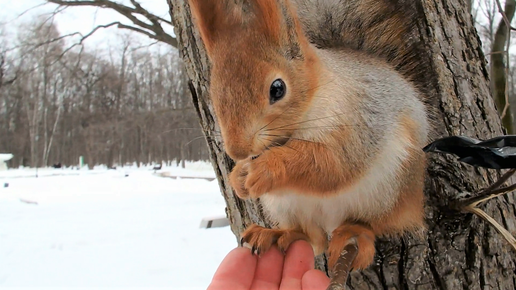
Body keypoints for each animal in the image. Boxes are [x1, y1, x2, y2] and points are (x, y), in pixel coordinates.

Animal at [187, 0, 430, 270]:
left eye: (278, 88)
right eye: (214, 94)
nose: (238, 150)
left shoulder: (359, 123)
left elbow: (331, 164)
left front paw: (266, 168)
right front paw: (238, 177)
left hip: (389, 189)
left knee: (373, 224)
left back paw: (355, 233)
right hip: (286, 205)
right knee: (313, 239)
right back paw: (276, 234)